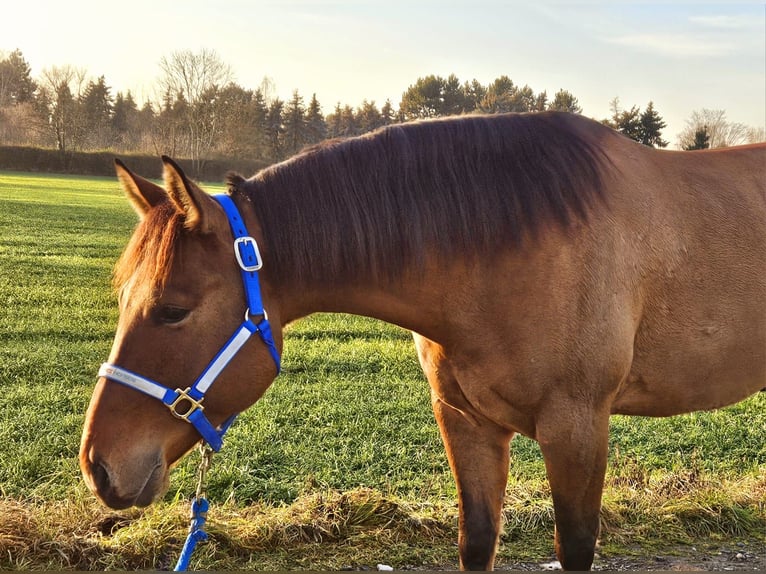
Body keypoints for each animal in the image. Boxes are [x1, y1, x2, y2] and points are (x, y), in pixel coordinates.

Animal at [79, 111, 766, 572]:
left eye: (172, 311)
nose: (99, 468)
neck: (522, 242)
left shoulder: (576, 425)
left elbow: (574, 547)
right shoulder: (465, 420)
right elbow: (477, 541)